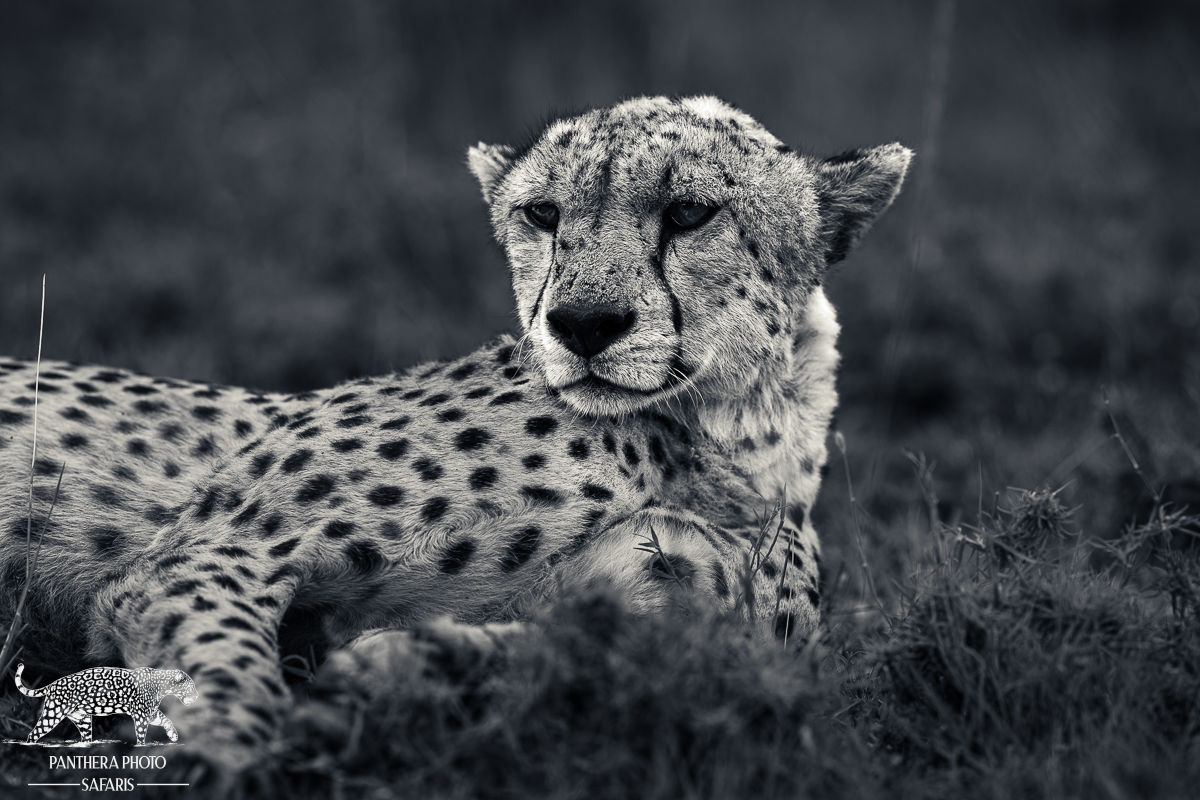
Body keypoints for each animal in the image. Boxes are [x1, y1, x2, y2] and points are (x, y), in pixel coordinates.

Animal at [14, 662, 196, 745]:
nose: (196, 697)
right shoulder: (141, 715)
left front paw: (173, 735)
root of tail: (51, 685)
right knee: (34, 733)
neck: (161, 686)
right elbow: (141, 732)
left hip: (82, 719)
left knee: (85, 737)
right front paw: (142, 745)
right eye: (192, 687)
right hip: (53, 714)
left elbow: (166, 719)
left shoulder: (150, 712)